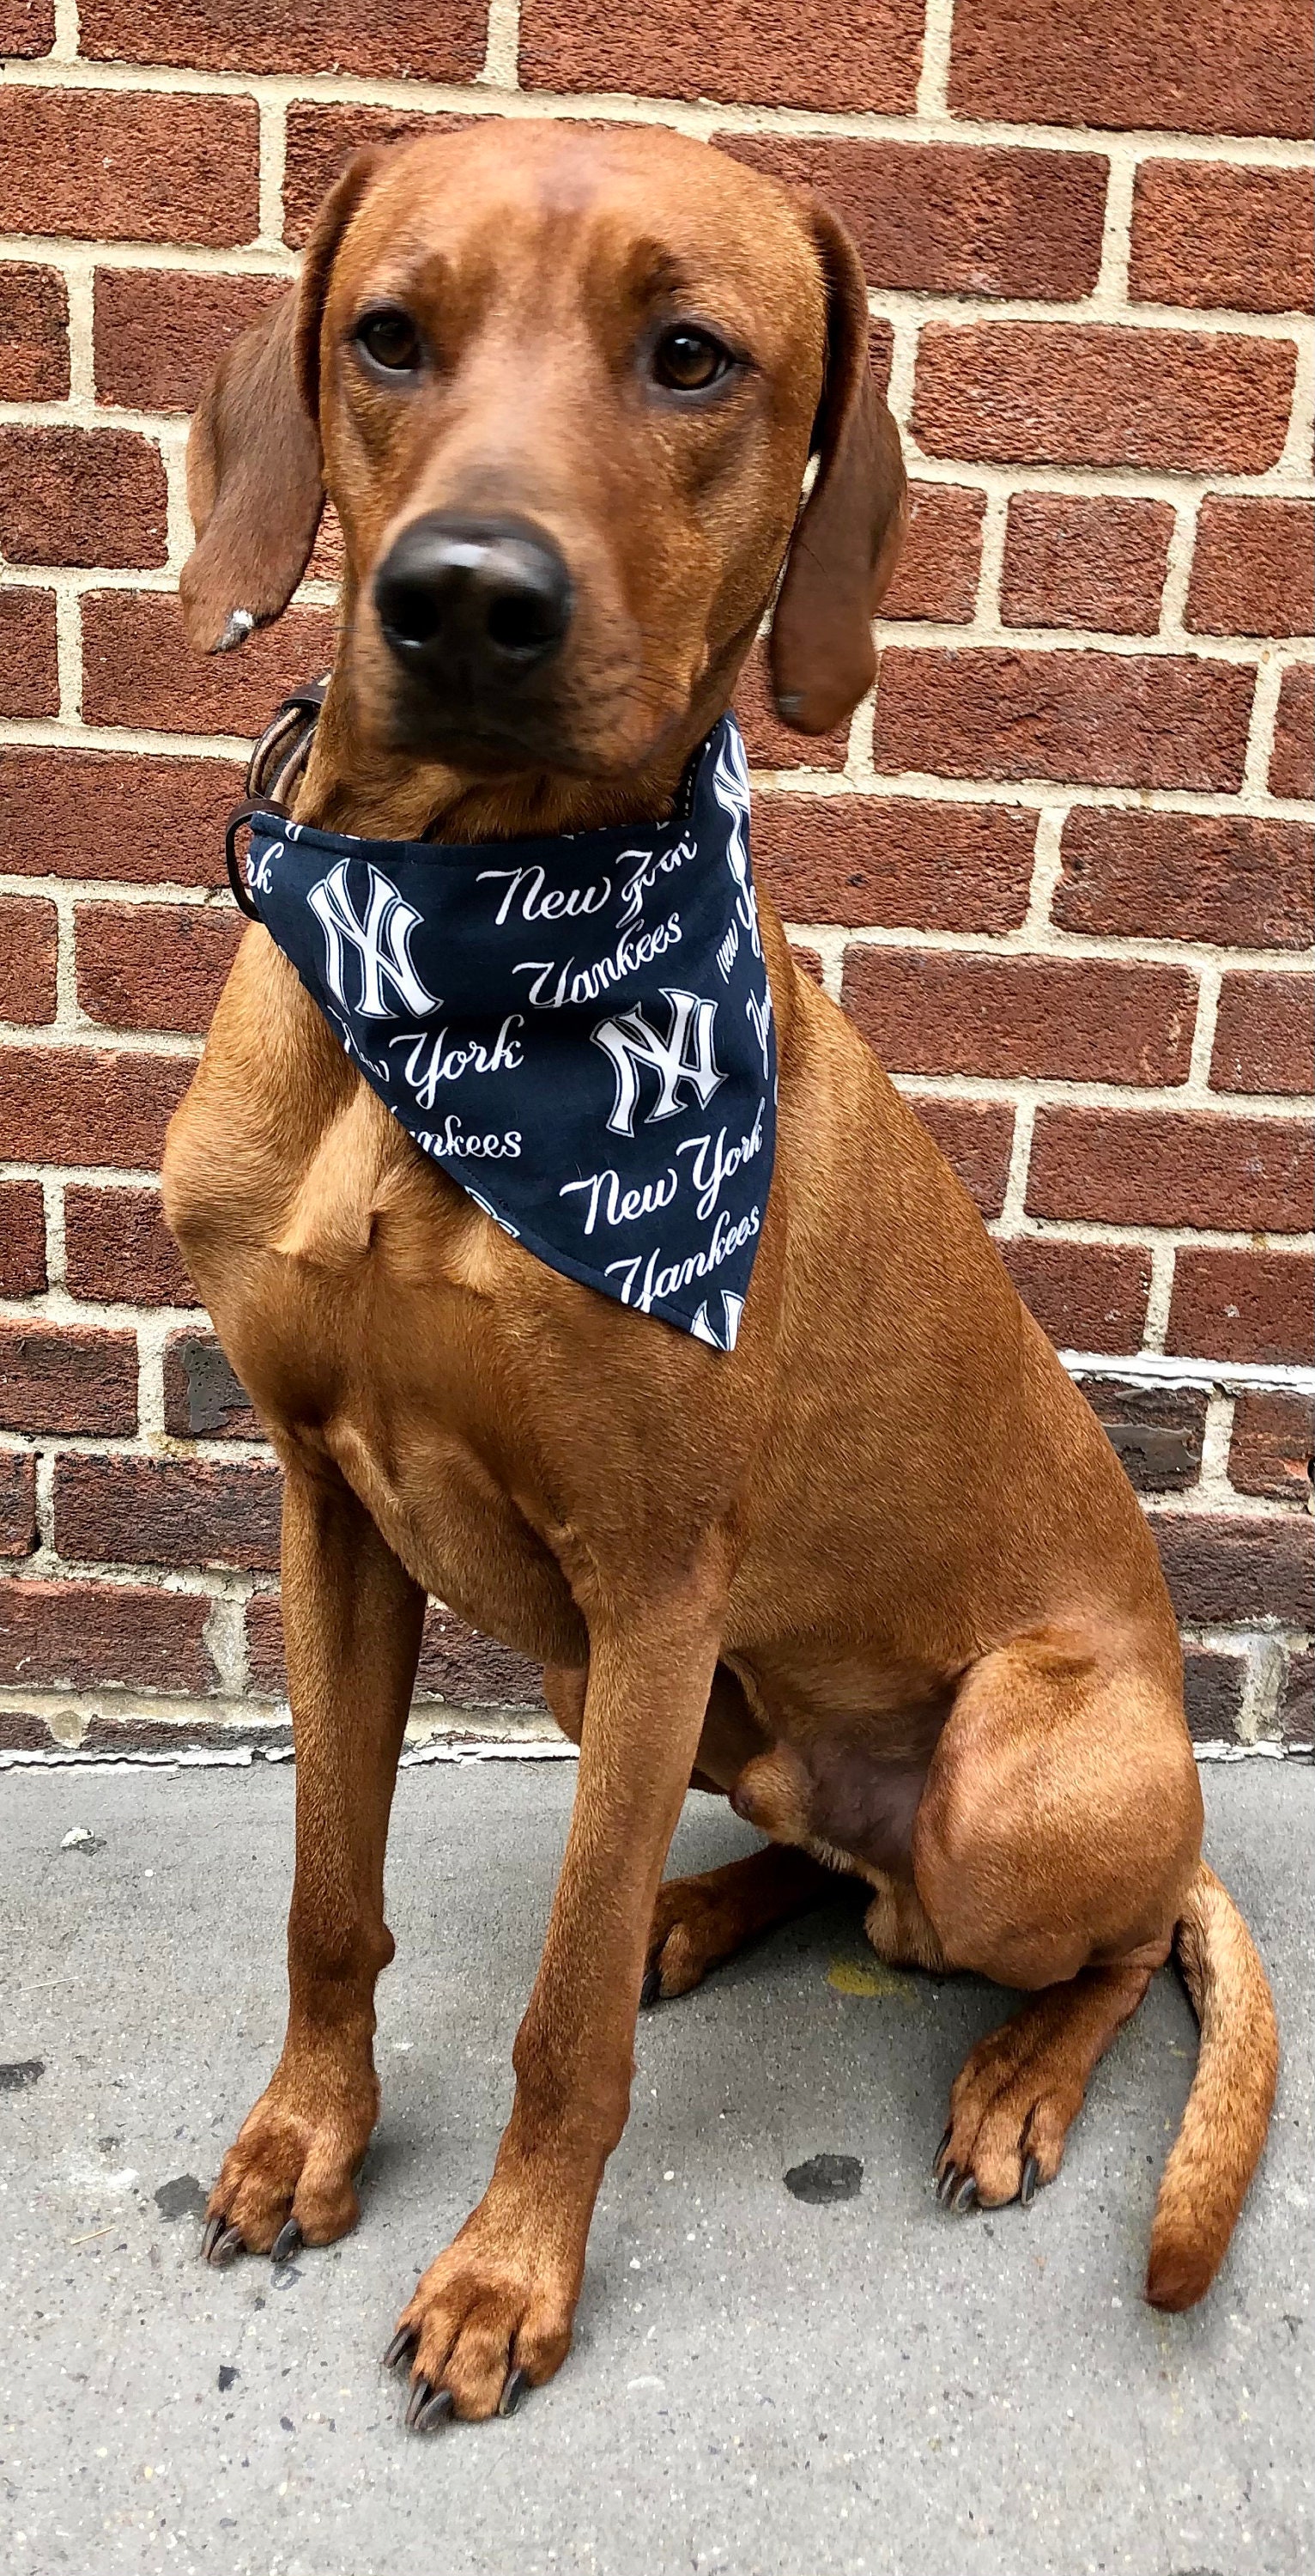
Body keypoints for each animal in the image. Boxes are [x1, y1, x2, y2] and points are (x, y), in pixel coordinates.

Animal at [161, 121, 1276, 2421]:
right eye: (385, 334)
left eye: (689, 357)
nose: (462, 599)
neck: (467, 946)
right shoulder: (334, 1509)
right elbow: (328, 1894)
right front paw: (307, 2136)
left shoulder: (653, 1571)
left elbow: (559, 2009)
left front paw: (507, 2273)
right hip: (654, 1696)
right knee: (828, 1868)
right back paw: (712, 1903)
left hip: (997, 1784)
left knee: (1093, 1935)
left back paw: (1015, 2078)